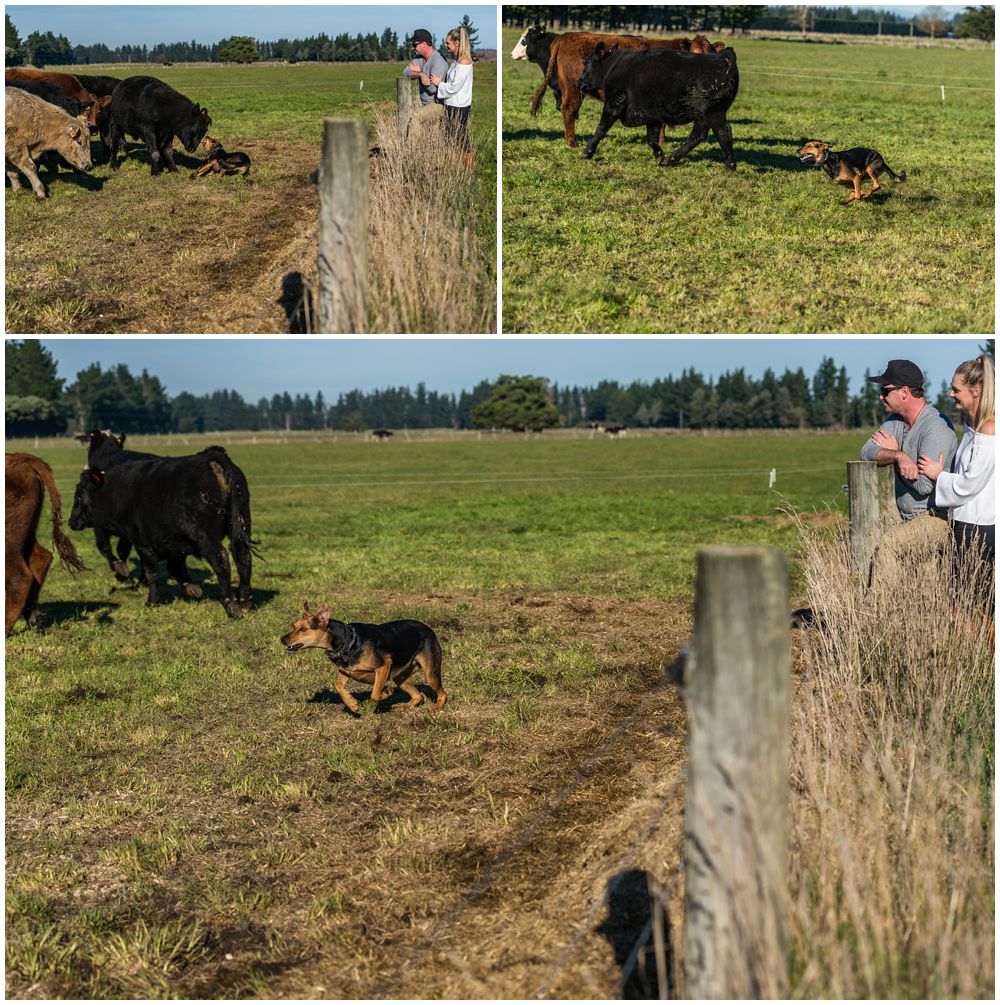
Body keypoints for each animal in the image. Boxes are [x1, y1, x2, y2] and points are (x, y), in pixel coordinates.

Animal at [68, 444, 256, 615]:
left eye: (79, 497)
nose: (71, 522)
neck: (120, 492)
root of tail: (209, 457)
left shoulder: (142, 543)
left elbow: (151, 572)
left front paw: (152, 600)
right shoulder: (174, 543)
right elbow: (176, 567)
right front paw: (192, 589)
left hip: (206, 537)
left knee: (221, 558)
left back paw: (231, 605)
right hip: (240, 524)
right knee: (243, 555)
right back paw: (245, 601)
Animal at [279, 594, 448, 715]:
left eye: (303, 629)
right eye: (294, 626)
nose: (282, 639)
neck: (348, 642)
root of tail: (428, 629)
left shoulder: (384, 666)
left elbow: (374, 693)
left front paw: (385, 693)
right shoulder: (345, 671)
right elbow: (338, 686)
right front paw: (352, 704)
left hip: (430, 673)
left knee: (442, 693)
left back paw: (437, 708)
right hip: (400, 677)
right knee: (418, 696)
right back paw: (404, 706)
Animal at [530, 31, 719, 146]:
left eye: (710, 50)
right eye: (696, 50)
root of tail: (566, 36)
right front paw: (662, 141)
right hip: (574, 88)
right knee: (569, 108)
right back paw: (572, 142)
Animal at [574, 42, 739, 168]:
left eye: (587, 63)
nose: (578, 82)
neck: (614, 66)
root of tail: (722, 57)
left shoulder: (614, 102)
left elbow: (601, 128)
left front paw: (586, 152)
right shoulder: (652, 115)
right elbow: (651, 138)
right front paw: (659, 156)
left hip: (711, 111)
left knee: (722, 132)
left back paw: (730, 165)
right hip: (707, 114)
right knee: (700, 135)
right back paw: (670, 160)